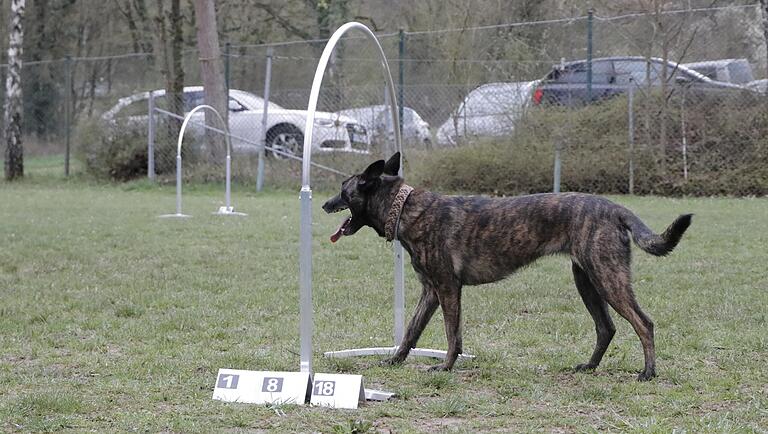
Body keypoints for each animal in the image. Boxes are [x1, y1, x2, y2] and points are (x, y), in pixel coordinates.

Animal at [320, 153, 692, 380]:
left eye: (343, 190)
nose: (324, 204)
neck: (408, 208)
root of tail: (615, 207)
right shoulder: (431, 292)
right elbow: (411, 332)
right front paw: (393, 361)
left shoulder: (448, 289)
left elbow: (452, 335)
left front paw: (446, 367)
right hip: (587, 281)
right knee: (607, 328)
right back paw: (588, 366)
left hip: (607, 279)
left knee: (644, 323)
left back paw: (648, 373)